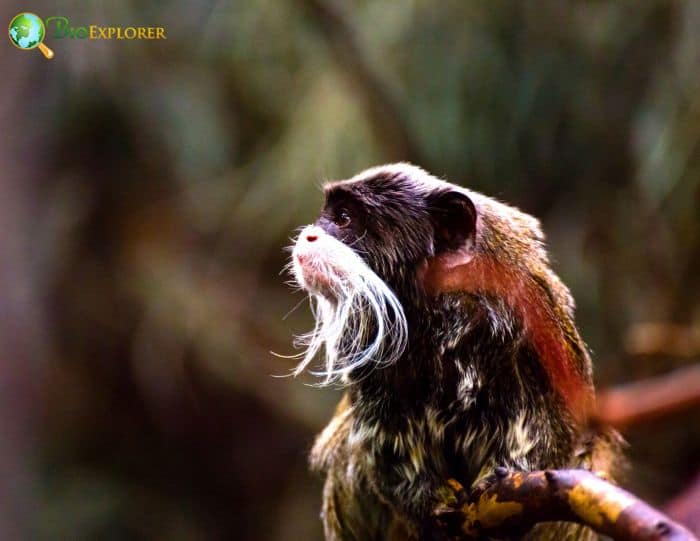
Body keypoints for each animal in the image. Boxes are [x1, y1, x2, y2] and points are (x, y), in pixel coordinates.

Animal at [288, 162, 620, 536]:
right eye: (326, 215)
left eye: (344, 218)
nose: (308, 235)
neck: (438, 317)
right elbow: (381, 449)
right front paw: (429, 499)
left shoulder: (536, 329)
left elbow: (557, 433)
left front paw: (506, 475)